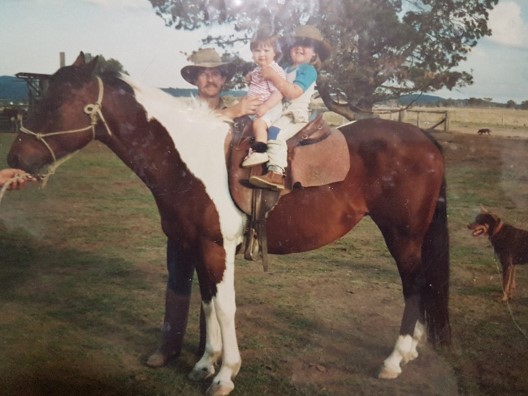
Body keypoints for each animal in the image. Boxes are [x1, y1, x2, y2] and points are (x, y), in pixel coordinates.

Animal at [6, 53, 450, 396]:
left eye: (56, 104)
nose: (15, 159)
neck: (190, 159)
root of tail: (425, 139)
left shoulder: (217, 247)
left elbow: (223, 306)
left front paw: (224, 375)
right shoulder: (199, 246)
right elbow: (205, 302)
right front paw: (205, 363)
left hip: (403, 235)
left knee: (414, 286)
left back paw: (394, 360)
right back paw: (410, 350)